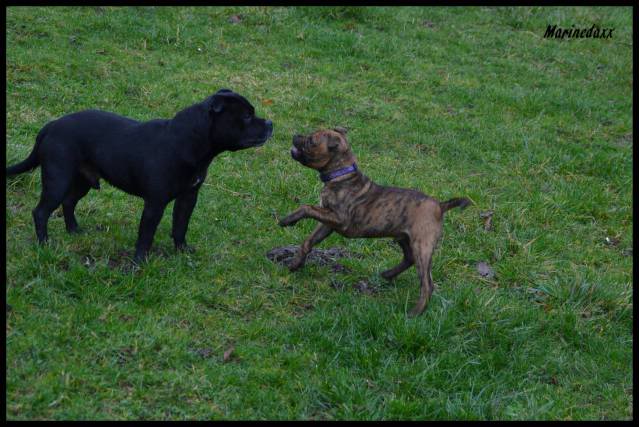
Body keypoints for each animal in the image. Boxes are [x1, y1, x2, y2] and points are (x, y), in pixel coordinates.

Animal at [6, 88, 274, 260]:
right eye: (247, 116)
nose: (271, 123)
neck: (189, 141)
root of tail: (51, 126)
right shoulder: (155, 203)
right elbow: (146, 235)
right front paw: (139, 262)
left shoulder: (188, 197)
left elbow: (180, 226)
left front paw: (182, 251)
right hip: (58, 179)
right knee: (41, 211)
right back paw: (44, 244)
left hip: (82, 180)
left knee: (69, 202)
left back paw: (74, 231)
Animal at [280, 129, 470, 316]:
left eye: (312, 140)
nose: (295, 135)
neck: (342, 174)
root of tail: (440, 206)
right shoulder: (327, 223)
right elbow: (308, 241)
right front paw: (296, 264)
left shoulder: (340, 219)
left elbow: (306, 208)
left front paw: (287, 220)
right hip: (404, 238)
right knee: (409, 259)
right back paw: (388, 275)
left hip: (422, 244)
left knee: (427, 284)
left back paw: (414, 313)